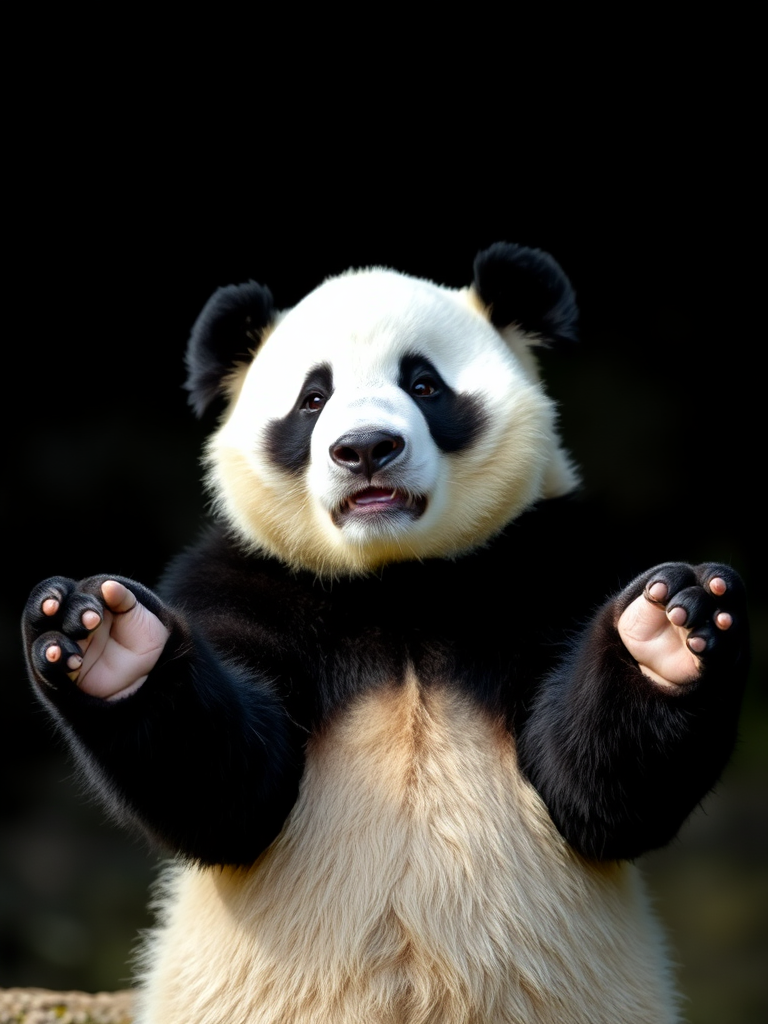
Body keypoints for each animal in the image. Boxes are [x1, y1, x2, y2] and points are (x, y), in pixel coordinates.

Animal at [22, 243, 753, 1024]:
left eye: (424, 384)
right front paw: (101, 636)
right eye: (313, 398)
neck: (396, 585)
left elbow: (593, 787)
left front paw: (674, 624)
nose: (366, 447)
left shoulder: (552, 567)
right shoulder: (241, 581)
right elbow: (231, 791)